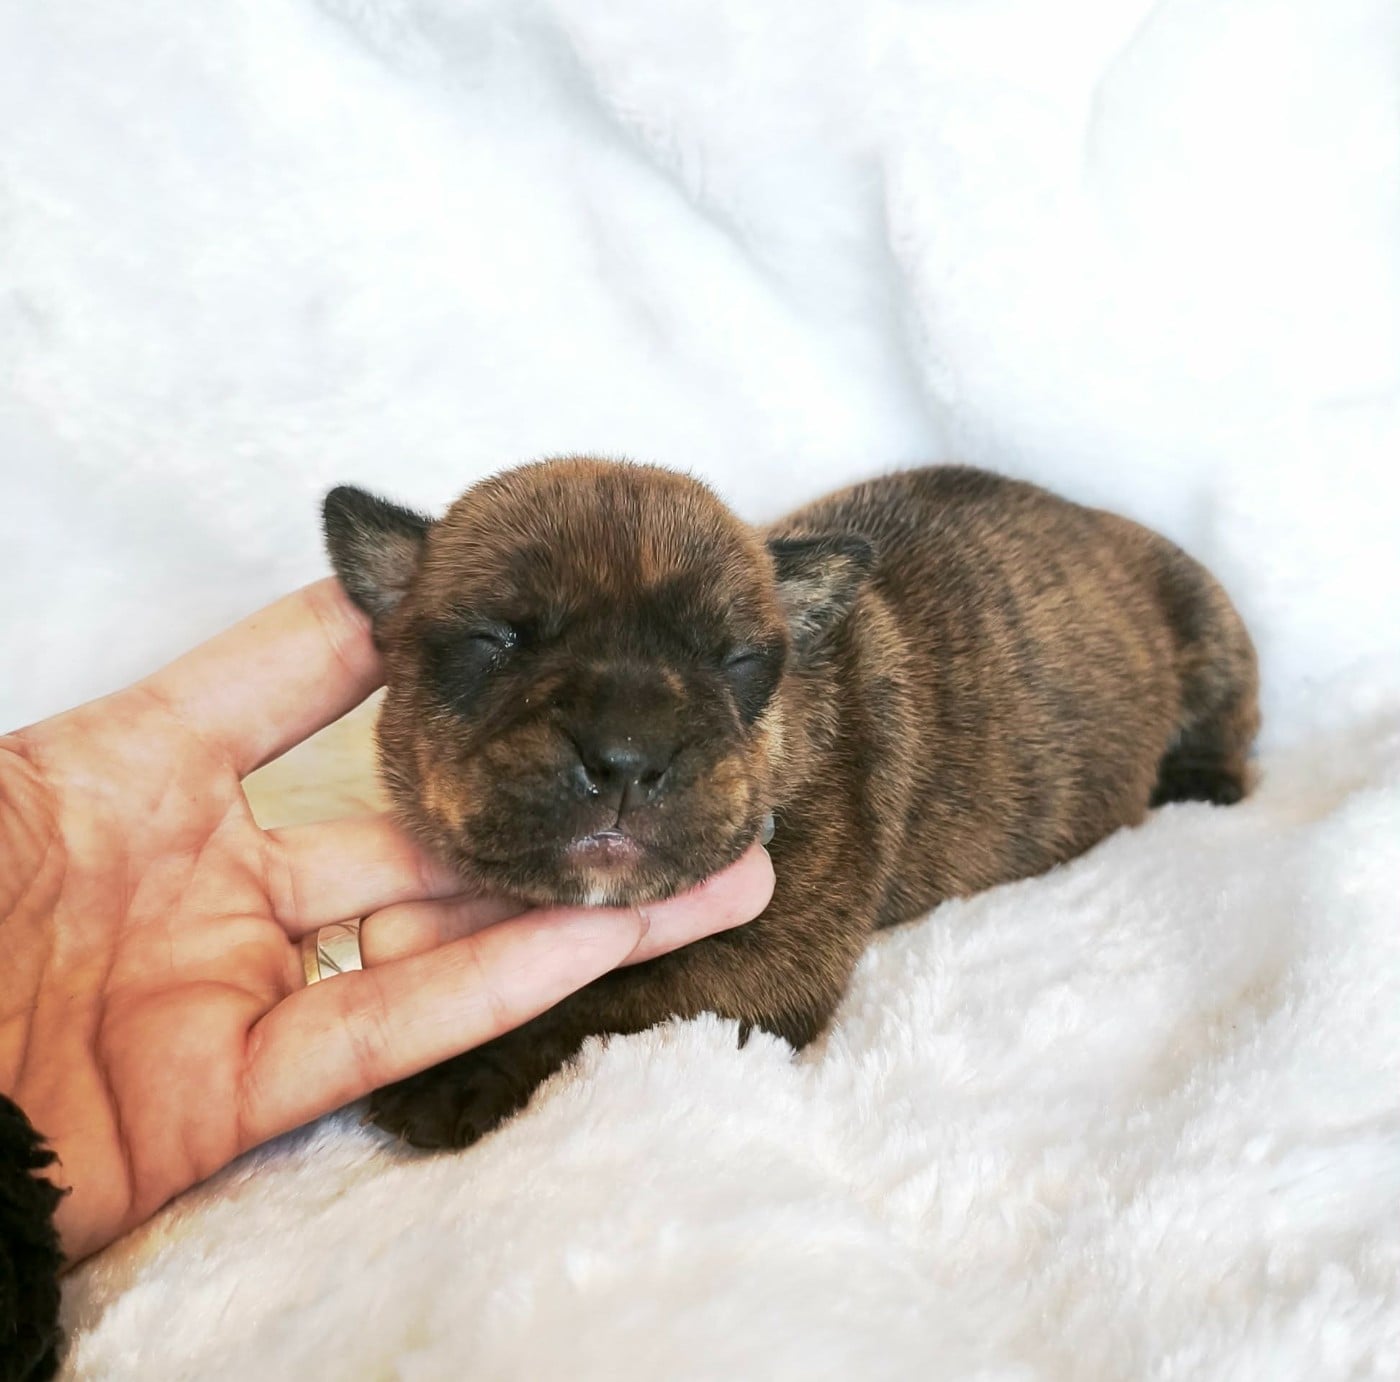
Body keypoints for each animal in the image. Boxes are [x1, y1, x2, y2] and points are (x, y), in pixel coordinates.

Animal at [323, 459, 1259, 1148]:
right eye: (496, 641)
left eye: (736, 661)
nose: (626, 757)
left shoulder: (764, 966)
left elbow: (591, 999)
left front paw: (455, 1071)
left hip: (1210, 622)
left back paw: (1201, 780)